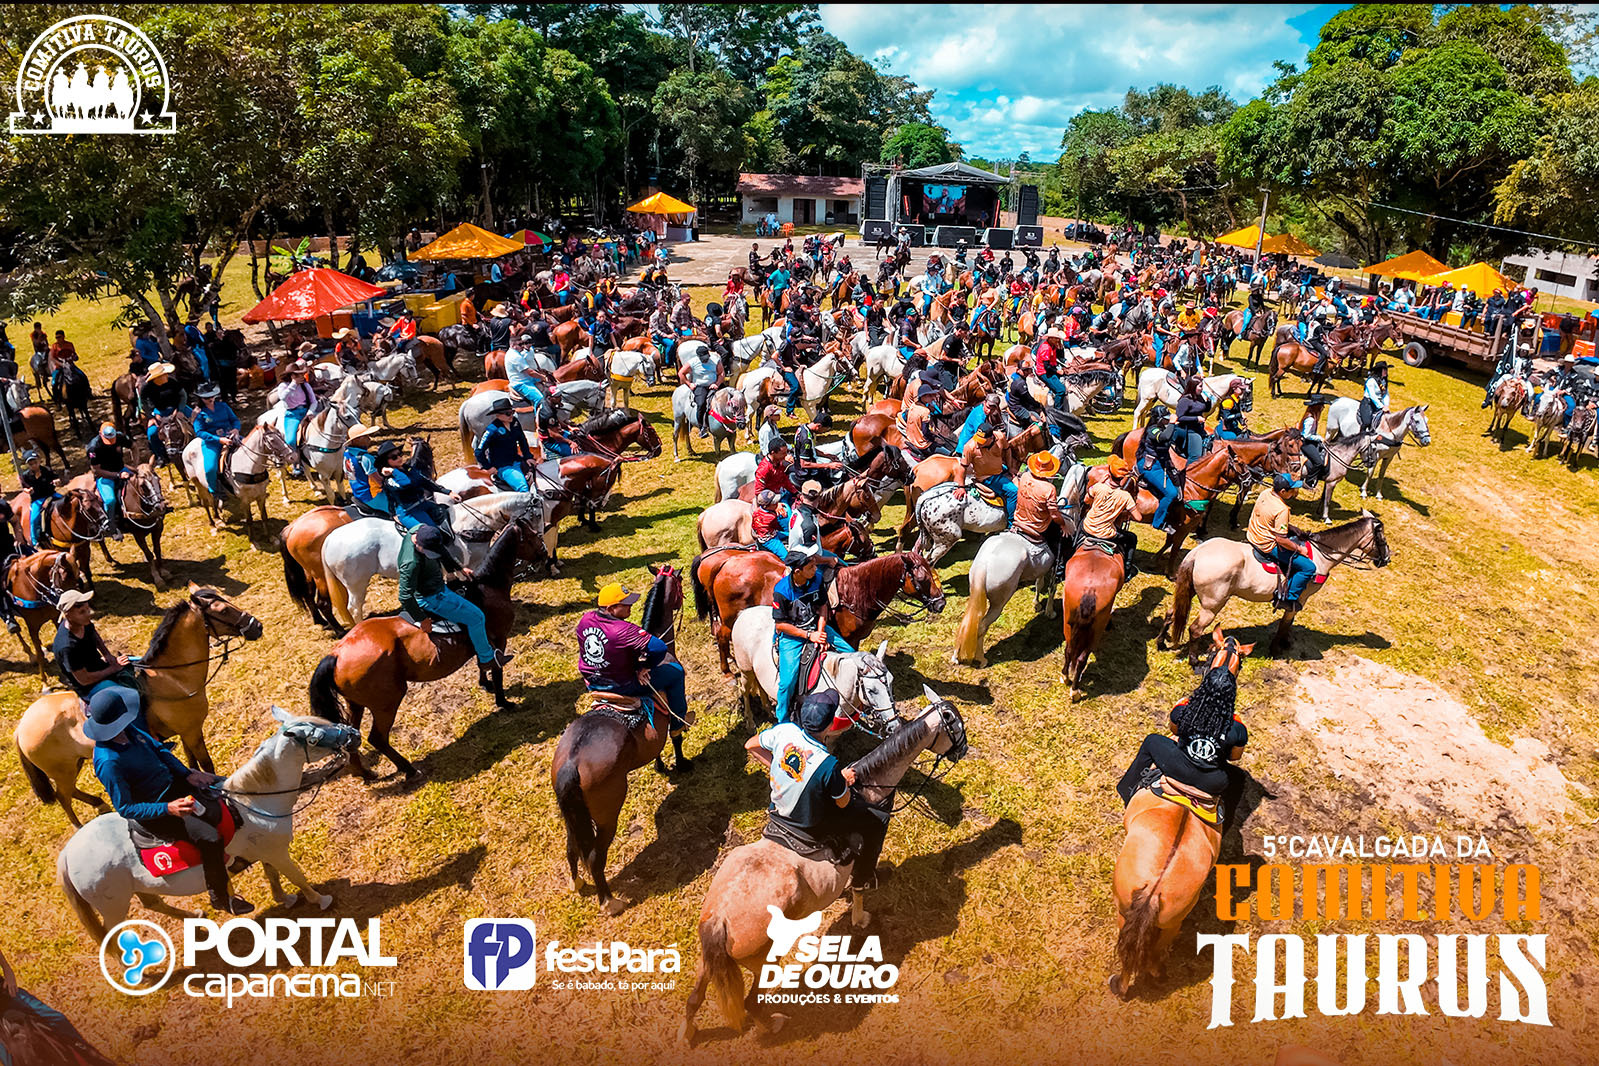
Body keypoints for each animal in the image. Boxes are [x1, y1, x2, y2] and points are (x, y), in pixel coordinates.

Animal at [56, 710, 360, 940]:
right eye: (315, 737)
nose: (354, 735)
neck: (252, 803)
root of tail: (68, 854)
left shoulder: (265, 852)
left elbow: (272, 876)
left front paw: (285, 899)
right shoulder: (277, 852)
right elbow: (296, 875)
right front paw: (320, 900)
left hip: (134, 890)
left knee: (154, 903)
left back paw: (196, 917)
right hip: (114, 905)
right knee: (111, 935)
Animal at [308, 523, 531, 780]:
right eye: (533, 534)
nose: (546, 553)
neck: (487, 587)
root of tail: (336, 654)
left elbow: (482, 664)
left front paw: (486, 684)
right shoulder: (499, 639)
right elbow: (497, 669)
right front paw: (503, 701)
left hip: (356, 704)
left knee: (352, 737)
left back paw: (366, 773)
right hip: (387, 702)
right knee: (377, 738)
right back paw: (408, 769)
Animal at [551, 565, 686, 915]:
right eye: (680, 585)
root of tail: (571, 763)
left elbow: (658, 747)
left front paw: (661, 766)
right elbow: (676, 737)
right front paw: (682, 764)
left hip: (572, 814)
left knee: (572, 847)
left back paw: (578, 884)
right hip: (607, 811)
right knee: (595, 856)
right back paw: (608, 900)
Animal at [680, 692, 968, 1042]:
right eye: (956, 725)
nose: (963, 750)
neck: (870, 787)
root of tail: (721, 919)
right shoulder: (872, 837)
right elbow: (860, 885)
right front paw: (860, 917)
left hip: (707, 957)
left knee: (695, 996)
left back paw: (688, 1032)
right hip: (764, 959)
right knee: (750, 1002)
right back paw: (774, 1024)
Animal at [1109, 635, 1249, 997]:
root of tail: (1153, 892)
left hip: (1125, 909)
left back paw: (1122, 984)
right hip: (1172, 921)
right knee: (1154, 953)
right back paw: (1157, 976)